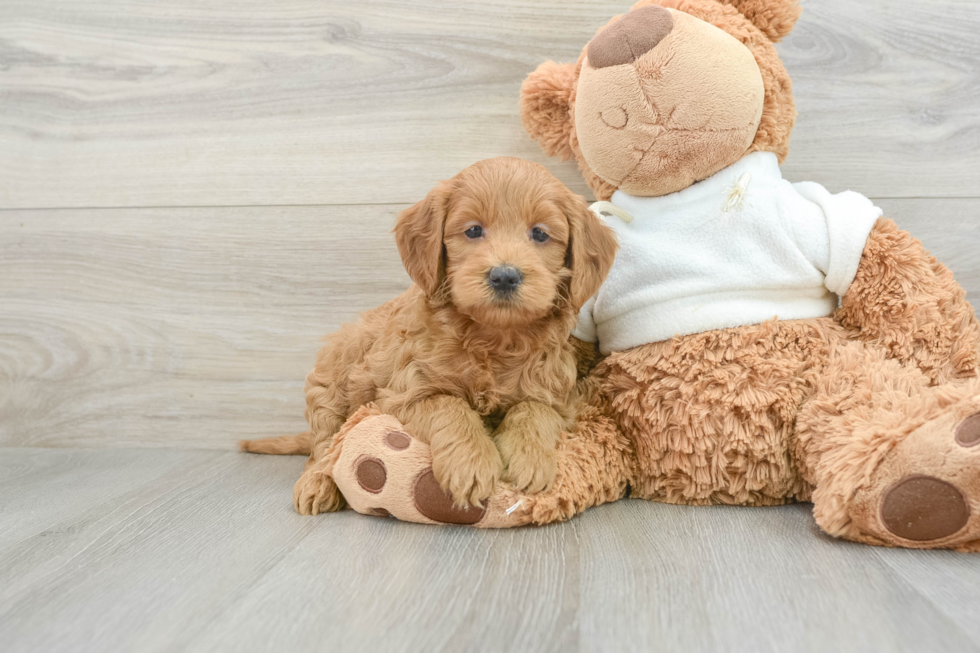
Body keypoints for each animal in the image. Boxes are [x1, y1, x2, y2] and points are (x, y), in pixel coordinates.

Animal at [241, 155, 616, 512]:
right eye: (473, 230)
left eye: (539, 234)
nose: (505, 276)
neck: (492, 337)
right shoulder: (404, 393)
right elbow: (450, 405)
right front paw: (471, 465)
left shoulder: (558, 397)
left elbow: (533, 411)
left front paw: (530, 459)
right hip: (330, 383)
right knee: (323, 446)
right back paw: (317, 484)